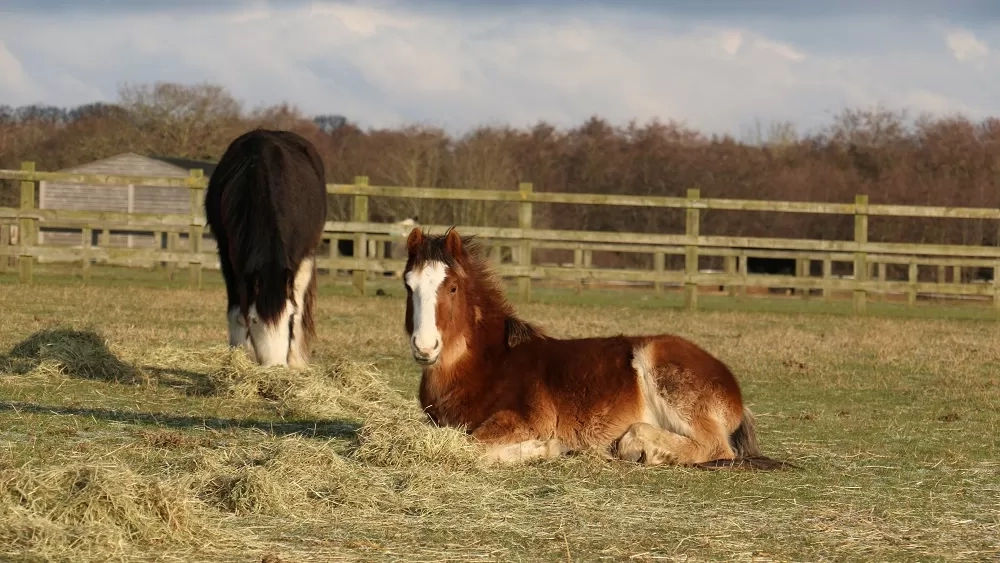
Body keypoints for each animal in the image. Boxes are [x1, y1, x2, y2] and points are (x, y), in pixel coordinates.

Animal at [204, 129, 328, 368]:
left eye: (288, 318)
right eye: (254, 320)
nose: (275, 368)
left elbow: (296, 307)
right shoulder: (229, 257)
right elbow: (236, 310)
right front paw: (237, 359)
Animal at [401, 227, 791, 470]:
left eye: (452, 287)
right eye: (408, 285)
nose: (425, 347)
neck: (490, 363)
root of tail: (733, 388)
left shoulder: (522, 420)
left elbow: (470, 446)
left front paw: (546, 448)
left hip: (664, 371)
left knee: (715, 447)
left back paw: (638, 446)